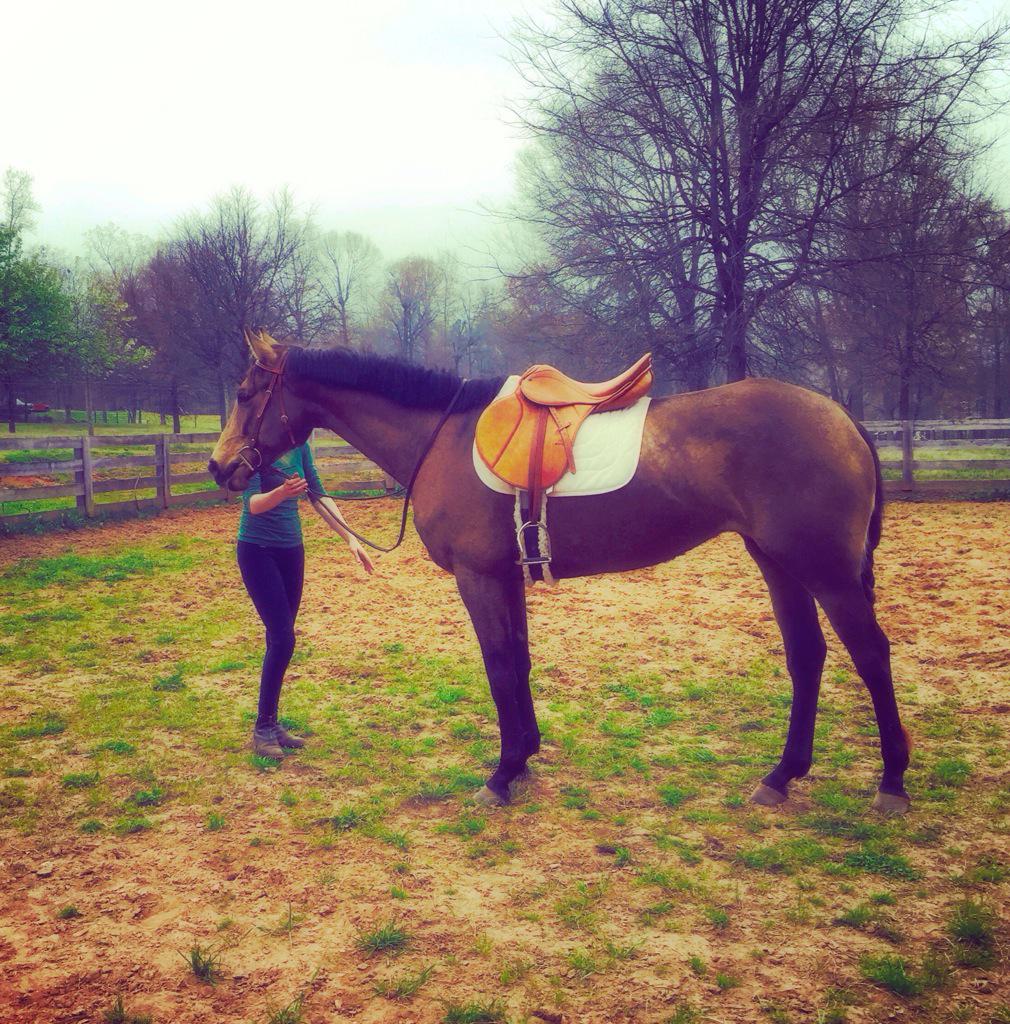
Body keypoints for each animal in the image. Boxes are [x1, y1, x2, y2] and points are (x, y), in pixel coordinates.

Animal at [208, 331, 912, 815]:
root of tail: (842, 418)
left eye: (243, 394)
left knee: (871, 655)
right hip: (778, 563)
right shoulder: (504, 576)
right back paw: (780, 777)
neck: (441, 436)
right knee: (807, 655)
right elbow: (518, 659)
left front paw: (501, 774)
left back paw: (892, 783)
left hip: (826, 572)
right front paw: (525, 758)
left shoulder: (478, 577)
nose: (220, 467)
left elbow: (498, 663)